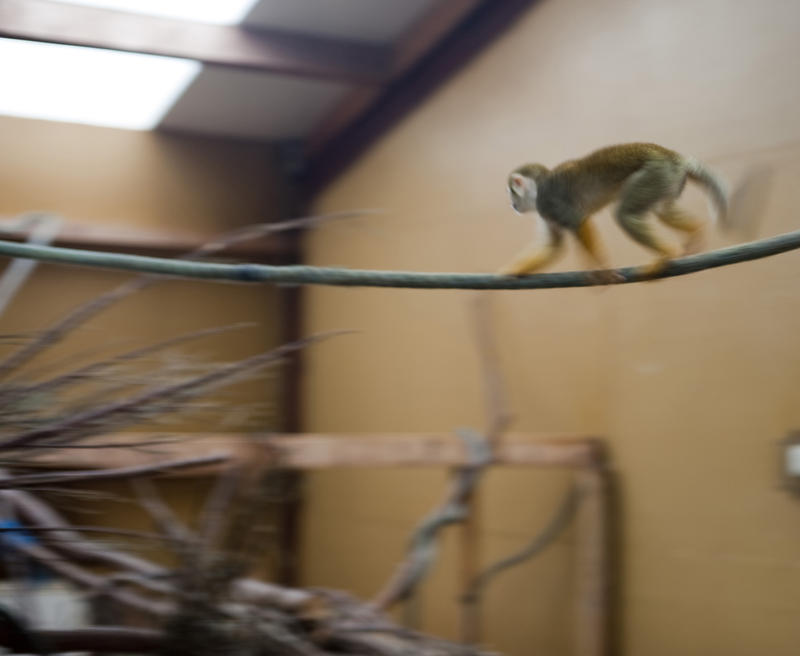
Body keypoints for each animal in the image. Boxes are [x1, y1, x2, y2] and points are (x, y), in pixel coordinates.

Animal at [500, 142, 732, 278]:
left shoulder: (548, 201)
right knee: (662, 211)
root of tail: (675, 157)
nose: (512, 204)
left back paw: (666, 253)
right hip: (668, 180)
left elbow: (578, 221)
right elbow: (553, 245)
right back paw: (695, 230)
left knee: (625, 215)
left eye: (512, 192)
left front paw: (600, 270)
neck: (538, 190)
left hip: (655, 172)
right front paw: (511, 271)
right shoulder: (545, 210)